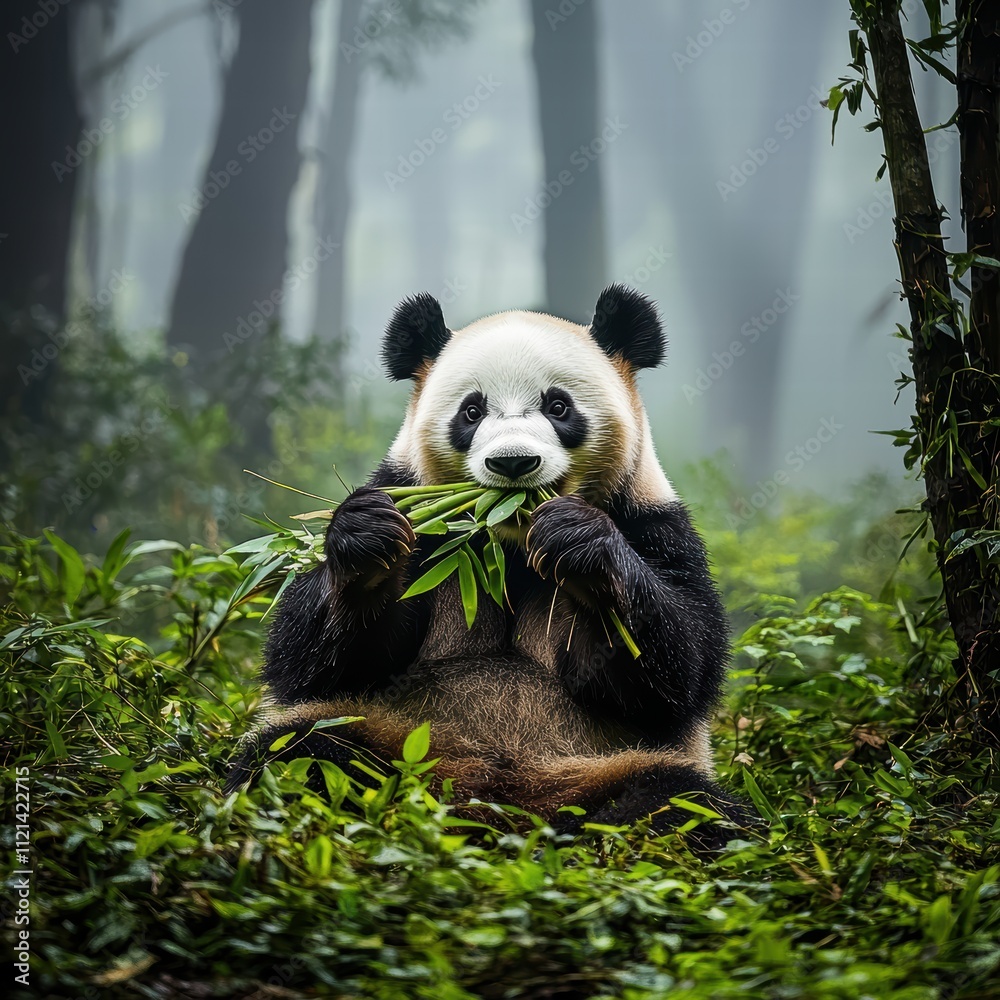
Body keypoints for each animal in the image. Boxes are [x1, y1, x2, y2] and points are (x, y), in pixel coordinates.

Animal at [227, 284, 752, 841]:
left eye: (558, 406)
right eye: (472, 411)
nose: (513, 463)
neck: (508, 544)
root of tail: (493, 805)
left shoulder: (652, 524)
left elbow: (677, 670)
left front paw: (577, 540)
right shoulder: (417, 514)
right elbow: (314, 662)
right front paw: (368, 540)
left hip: (599, 767)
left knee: (683, 805)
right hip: (394, 741)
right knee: (301, 754)